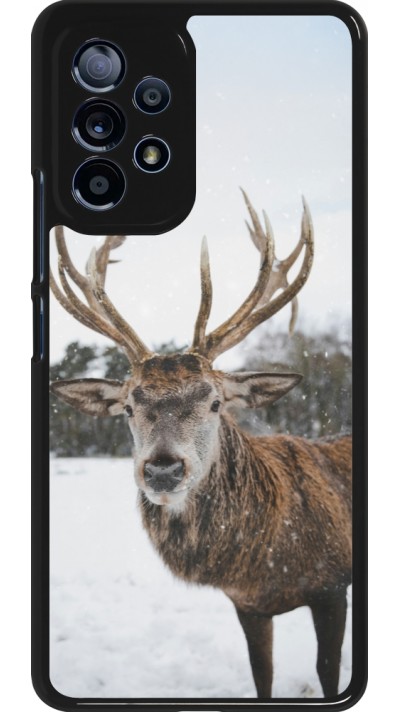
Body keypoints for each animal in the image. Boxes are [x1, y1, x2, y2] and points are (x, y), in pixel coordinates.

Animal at [50, 190, 352, 699]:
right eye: (128, 407)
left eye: (214, 402)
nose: (163, 469)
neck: (266, 563)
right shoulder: (247, 605)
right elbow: (262, 675)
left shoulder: (333, 586)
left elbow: (328, 672)